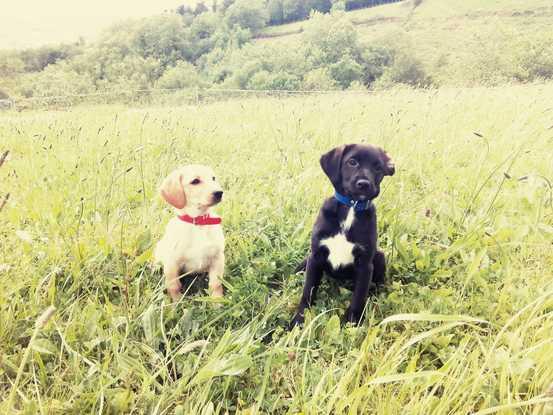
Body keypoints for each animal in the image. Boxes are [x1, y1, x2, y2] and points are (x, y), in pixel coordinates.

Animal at [292, 145, 394, 326]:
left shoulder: (365, 264)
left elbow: (359, 296)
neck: (352, 207)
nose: (364, 184)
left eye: (378, 168)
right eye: (352, 162)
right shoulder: (316, 256)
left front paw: (352, 322)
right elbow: (308, 290)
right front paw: (299, 319)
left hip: (379, 256)